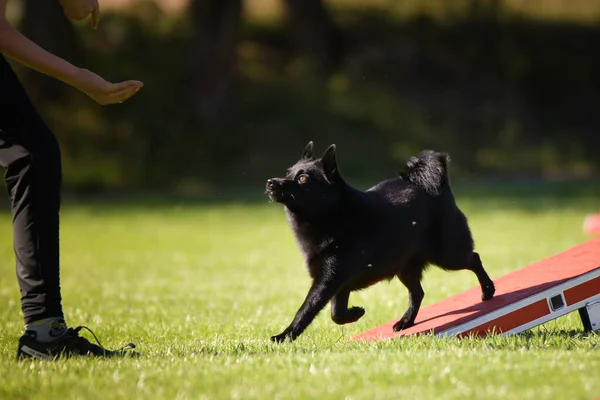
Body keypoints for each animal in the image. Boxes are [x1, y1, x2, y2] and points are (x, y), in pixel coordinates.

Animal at [268, 142, 496, 342]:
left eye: (303, 179)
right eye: (288, 173)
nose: (271, 182)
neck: (332, 214)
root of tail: (436, 185)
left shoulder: (327, 280)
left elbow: (306, 310)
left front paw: (284, 336)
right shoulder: (338, 283)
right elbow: (336, 313)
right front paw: (355, 313)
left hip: (447, 255)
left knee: (474, 258)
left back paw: (488, 290)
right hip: (405, 266)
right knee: (418, 293)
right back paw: (406, 321)